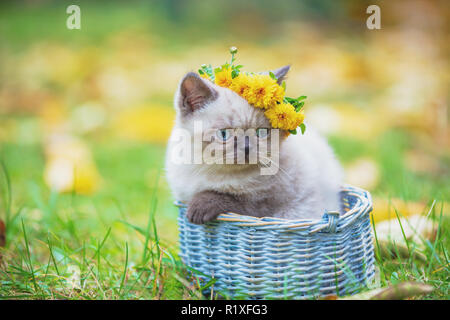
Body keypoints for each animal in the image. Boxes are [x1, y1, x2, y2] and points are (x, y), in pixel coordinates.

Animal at [165, 66, 344, 224]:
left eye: (261, 133)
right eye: (224, 134)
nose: (246, 148)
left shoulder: (266, 203)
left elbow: (232, 200)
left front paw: (197, 210)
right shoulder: (183, 194)